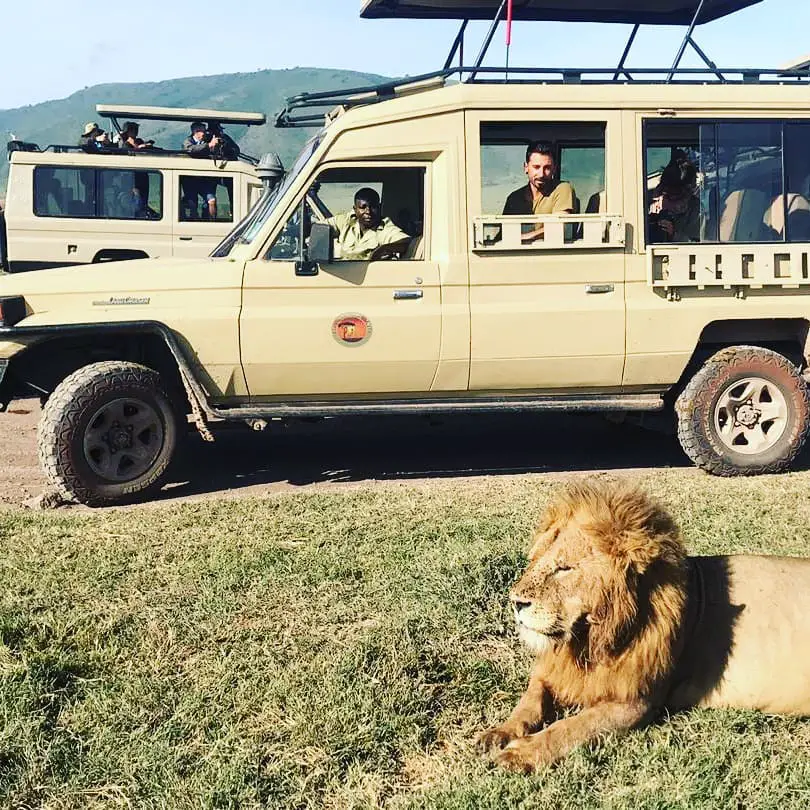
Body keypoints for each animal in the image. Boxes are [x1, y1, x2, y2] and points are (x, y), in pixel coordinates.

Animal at [476, 480, 808, 772]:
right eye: (534, 561)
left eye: (564, 568)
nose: (515, 601)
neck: (590, 641)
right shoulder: (555, 671)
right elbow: (529, 701)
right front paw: (499, 733)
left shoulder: (636, 700)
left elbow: (571, 727)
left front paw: (522, 752)